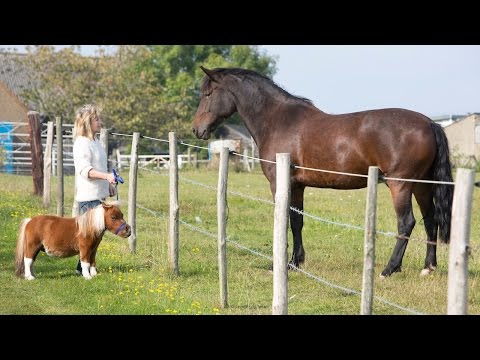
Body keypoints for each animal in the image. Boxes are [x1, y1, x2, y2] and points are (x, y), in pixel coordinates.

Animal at [191, 66, 454, 278]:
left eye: (208, 94)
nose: (196, 129)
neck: (278, 120)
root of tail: (430, 123)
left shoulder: (279, 183)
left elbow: (284, 220)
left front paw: (280, 265)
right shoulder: (297, 185)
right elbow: (296, 221)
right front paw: (295, 262)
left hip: (400, 184)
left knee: (406, 223)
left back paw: (389, 269)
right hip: (420, 185)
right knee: (430, 220)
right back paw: (428, 267)